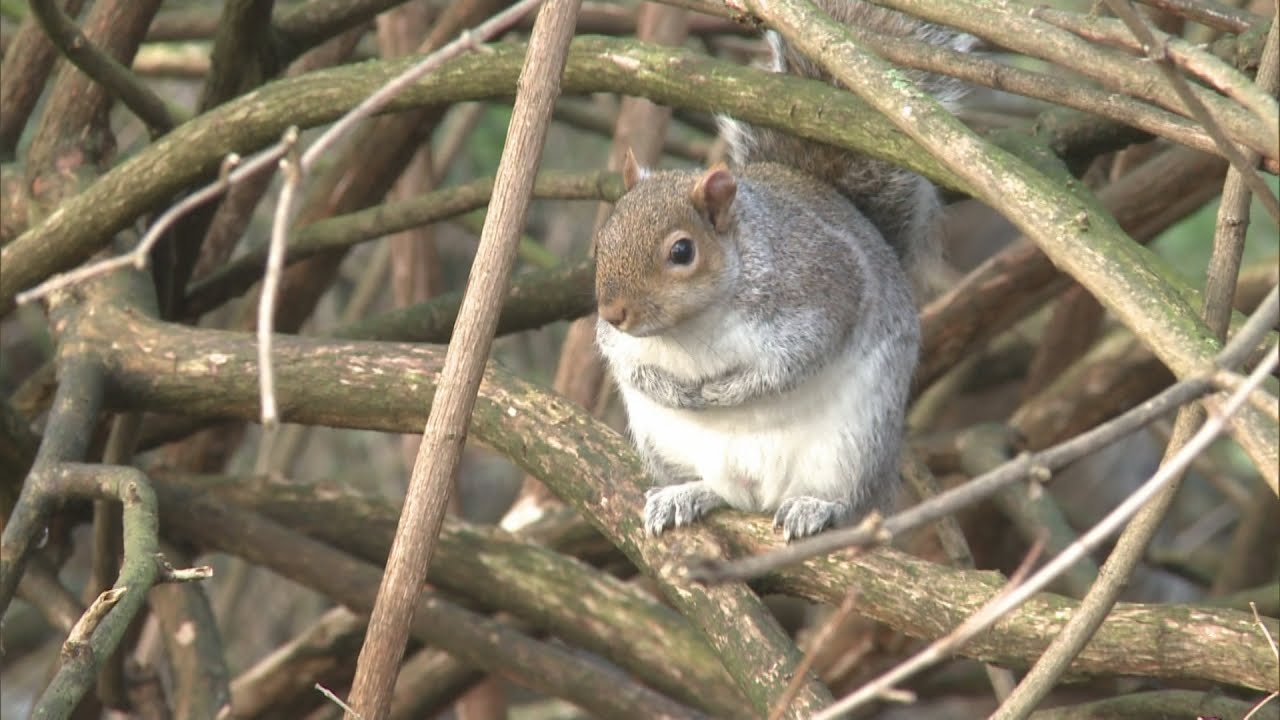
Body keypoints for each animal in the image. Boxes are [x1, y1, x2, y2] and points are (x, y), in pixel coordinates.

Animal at [593, 2, 971, 541]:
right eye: (604, 237)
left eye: (682, 251)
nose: (614, 312)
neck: (692, 330)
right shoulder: (621, 344)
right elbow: (626, 362)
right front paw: (673, 389)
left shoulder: (820, 290)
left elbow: (794, 360)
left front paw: (727, 391)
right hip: (663, 444)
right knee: (719, 491)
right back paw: (686, 494)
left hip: (852, 446)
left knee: (849, 503)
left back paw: (816, 507)